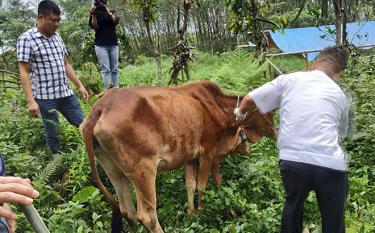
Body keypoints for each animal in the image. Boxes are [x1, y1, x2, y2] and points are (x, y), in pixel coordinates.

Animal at [80, 80, 276, 233]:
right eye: (267, 111)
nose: (276, 132)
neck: (217, 108)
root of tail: (100, 107)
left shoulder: (189, 158)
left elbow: (190, 185)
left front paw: (191, 214)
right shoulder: (207, 153)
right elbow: (202, 186)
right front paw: (202, 214)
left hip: (113, 170)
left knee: (127, 210)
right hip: (143, 171)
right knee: (147, 216)